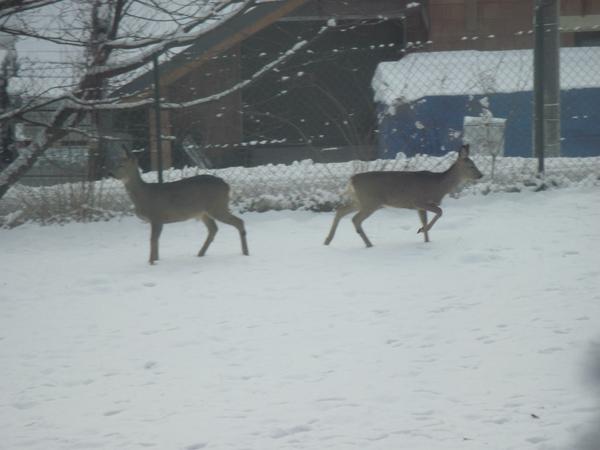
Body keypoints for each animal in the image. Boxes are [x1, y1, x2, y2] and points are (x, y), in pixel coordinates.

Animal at [112, 154, 249, 264]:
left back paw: (245, 252)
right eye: (115, 162)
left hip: (217, 206)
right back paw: (200, 254)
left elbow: (153, 239)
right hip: (203, 212)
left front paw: (151, 262)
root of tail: (227, 185)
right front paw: (156, 260)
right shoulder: (157, 220)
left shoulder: (157, 216)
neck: (144, 195)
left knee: (239, 221)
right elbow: (156, 240)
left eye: (122, 165)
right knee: (213, 229)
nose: (110, 173)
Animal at [324, 144, 483, 248]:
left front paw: (426, 239)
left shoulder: (420, 207)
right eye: (471, 166)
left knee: (341, 210)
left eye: (475, 164)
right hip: (371, 201)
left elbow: (425, 221)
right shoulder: (419, 201)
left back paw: (327, 240)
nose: (481, 175)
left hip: (360, 201)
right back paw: (369, 244)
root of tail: (351, 180)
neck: (439, 186)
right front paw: (422, 230)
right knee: (355, 219)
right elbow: (440, 211)